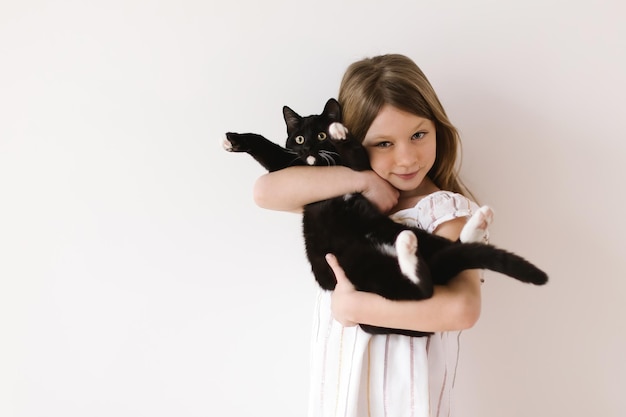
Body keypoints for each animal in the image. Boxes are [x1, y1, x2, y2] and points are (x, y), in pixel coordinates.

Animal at [224, 96, 544, 334]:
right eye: (300, 138)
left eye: (321, 134)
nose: (311, 148)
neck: (322, 167)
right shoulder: (290, 165)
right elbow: (272, 153)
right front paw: (234, 140)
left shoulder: (361, 167)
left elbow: (353, 157)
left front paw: (341, 133)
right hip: (367, 266)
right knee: (433, 275)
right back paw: (465, 229)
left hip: (383, 261)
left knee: (426, 287)